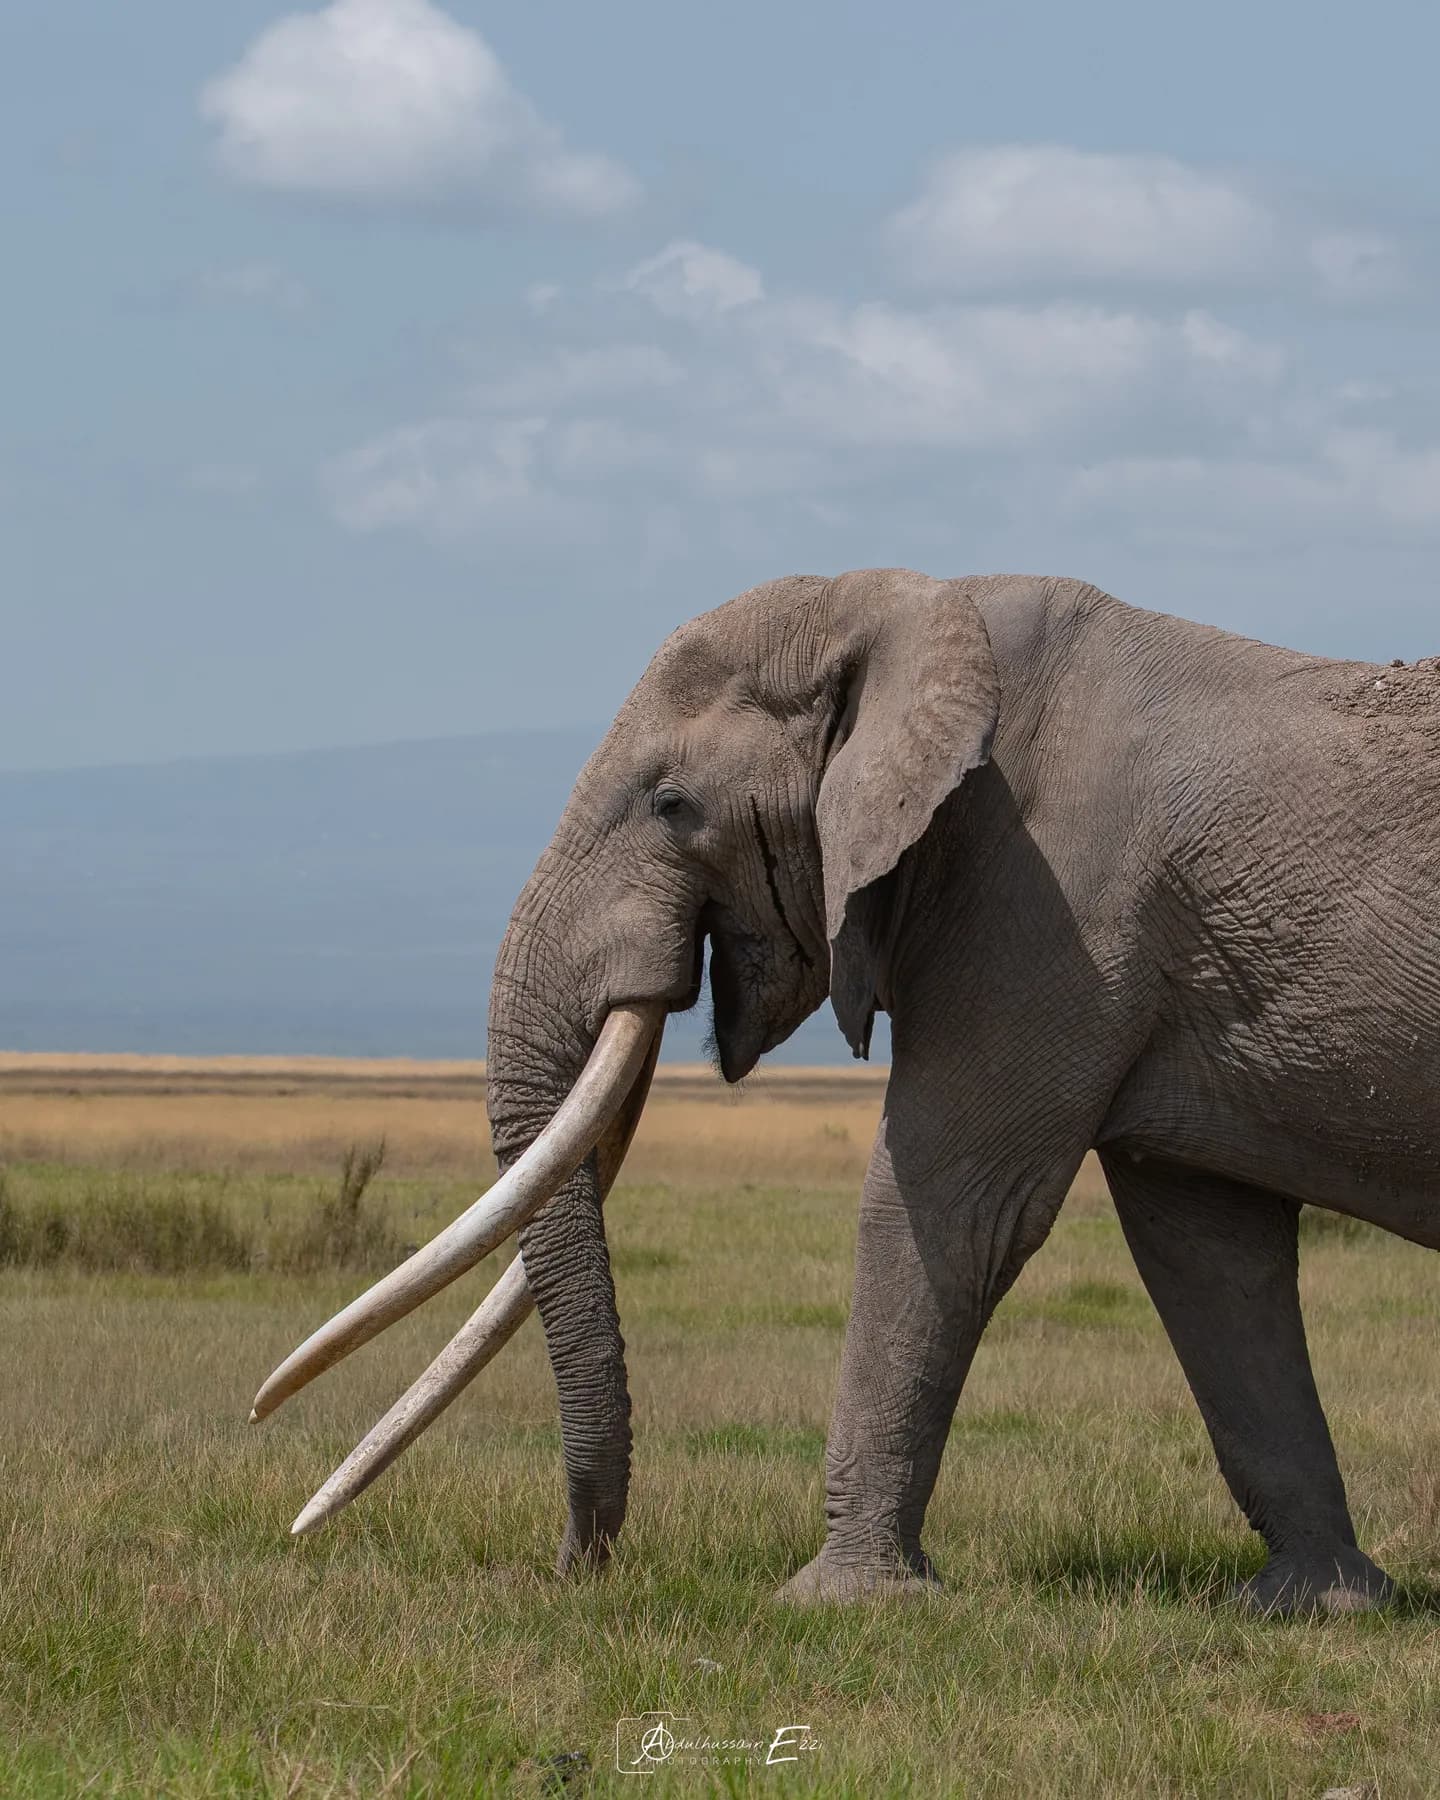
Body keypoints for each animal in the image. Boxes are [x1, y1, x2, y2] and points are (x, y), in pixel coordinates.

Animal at [253, 569, 1440, 1615]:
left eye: (673, 804)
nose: (576, 1567)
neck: (918, 616)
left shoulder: (1048, 895)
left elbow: (948, 1210)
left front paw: (843, 1603)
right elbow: (1211, 1257)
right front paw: (1317, 1608)